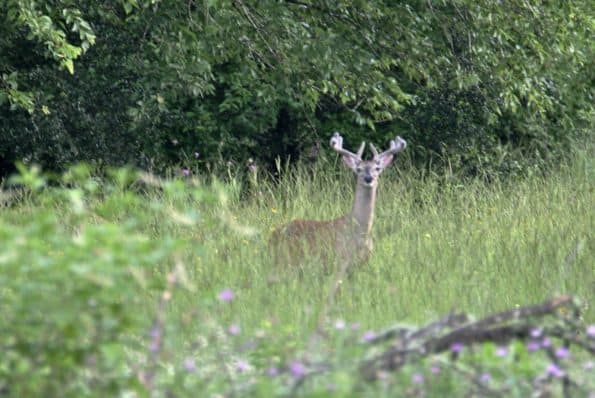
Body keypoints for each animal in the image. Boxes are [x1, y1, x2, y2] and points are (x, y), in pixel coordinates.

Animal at [272, 132, 408, 268]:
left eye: (377, 168)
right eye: (358, 169)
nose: (368, 178)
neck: (360, 233)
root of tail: (271, 238)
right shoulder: (340, 260)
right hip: (286, 260)